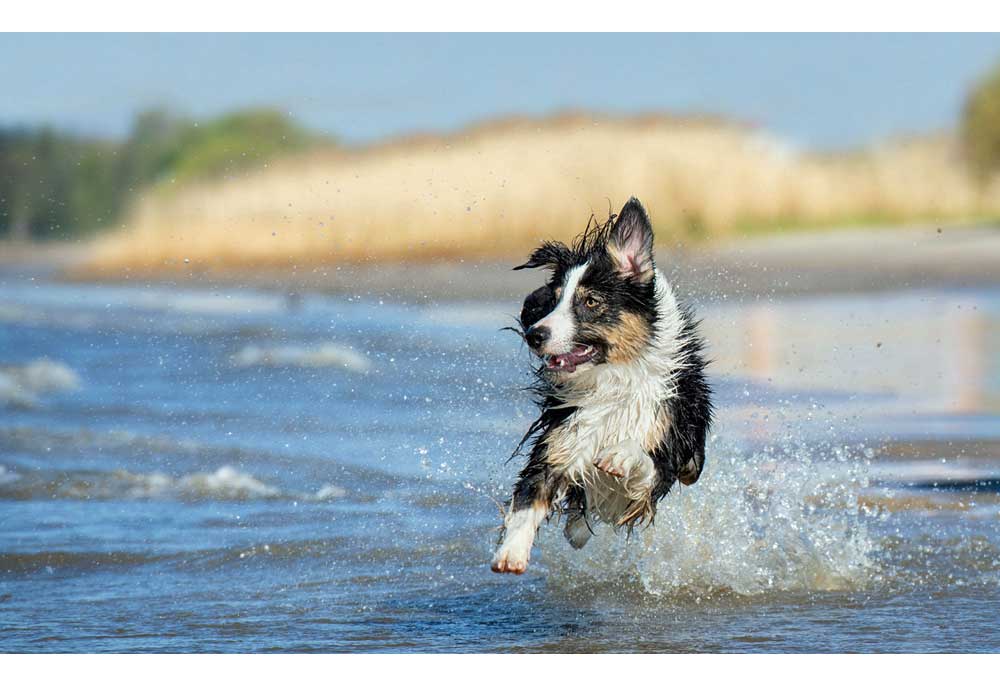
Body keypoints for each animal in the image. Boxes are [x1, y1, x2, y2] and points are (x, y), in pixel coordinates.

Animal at [490, 198, 712, 576]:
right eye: (552, 301)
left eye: (590, 301)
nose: (535, 335)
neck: (611, 379)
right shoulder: (562, 438)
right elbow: (527, 499)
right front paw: (511, 552)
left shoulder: (662, 457)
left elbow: (644, 461)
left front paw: (620, 455)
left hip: (692, 455)